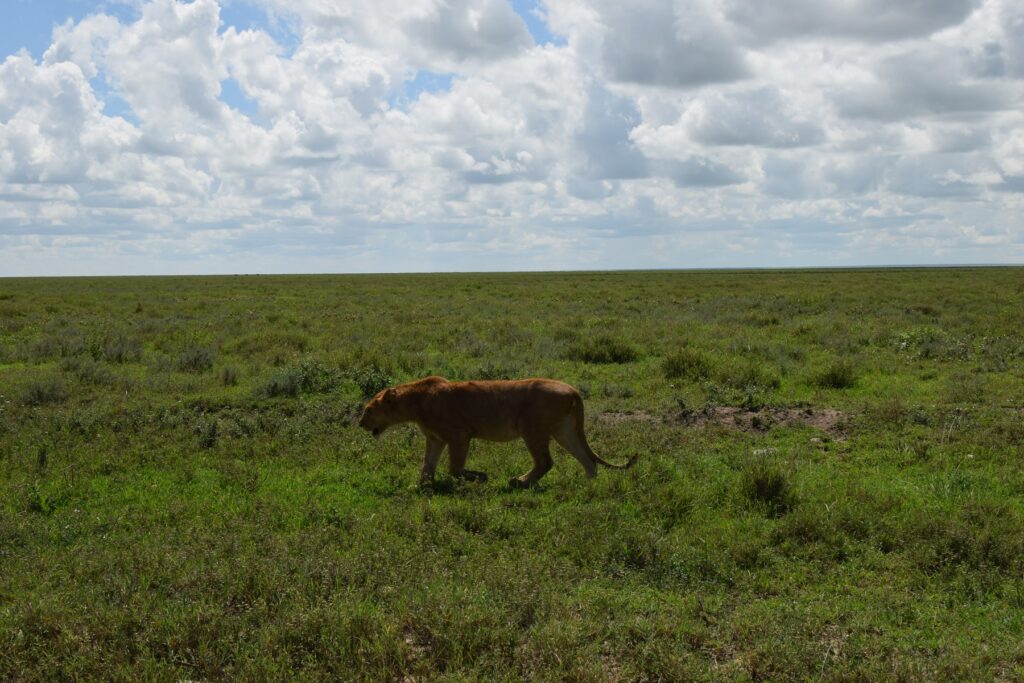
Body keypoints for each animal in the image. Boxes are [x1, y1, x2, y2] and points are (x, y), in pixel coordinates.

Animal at [358, 376, 637, 487]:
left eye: (369, 409)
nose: (360, 423)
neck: (415, 402)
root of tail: (572, 389)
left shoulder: (459, 435)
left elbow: (454, 468)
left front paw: (481, 477)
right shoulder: (435, 439)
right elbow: (427, 466)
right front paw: (419, 487)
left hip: (532, 428)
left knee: (545, 461)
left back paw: (520, 482)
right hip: (564, 431)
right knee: (587, 459)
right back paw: (587, 484)